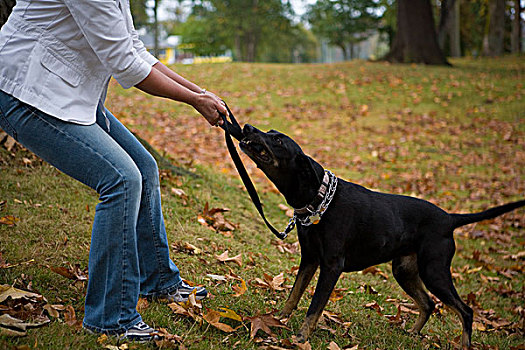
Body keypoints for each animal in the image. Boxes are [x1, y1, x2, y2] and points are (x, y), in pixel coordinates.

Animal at [239, 123, 520, 348]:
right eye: (270, 132)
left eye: (278, 140)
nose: (247, 127)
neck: (319, 200)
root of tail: (449, 218)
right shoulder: (309, 259)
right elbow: (294, 294)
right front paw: (279, 319)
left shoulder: (331, 266)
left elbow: (314, 306)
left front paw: (300, 338)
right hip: (404, 270)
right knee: (428, 304)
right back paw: (411, 334)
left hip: (434, 271)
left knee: (466, 311)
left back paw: (463, 344)